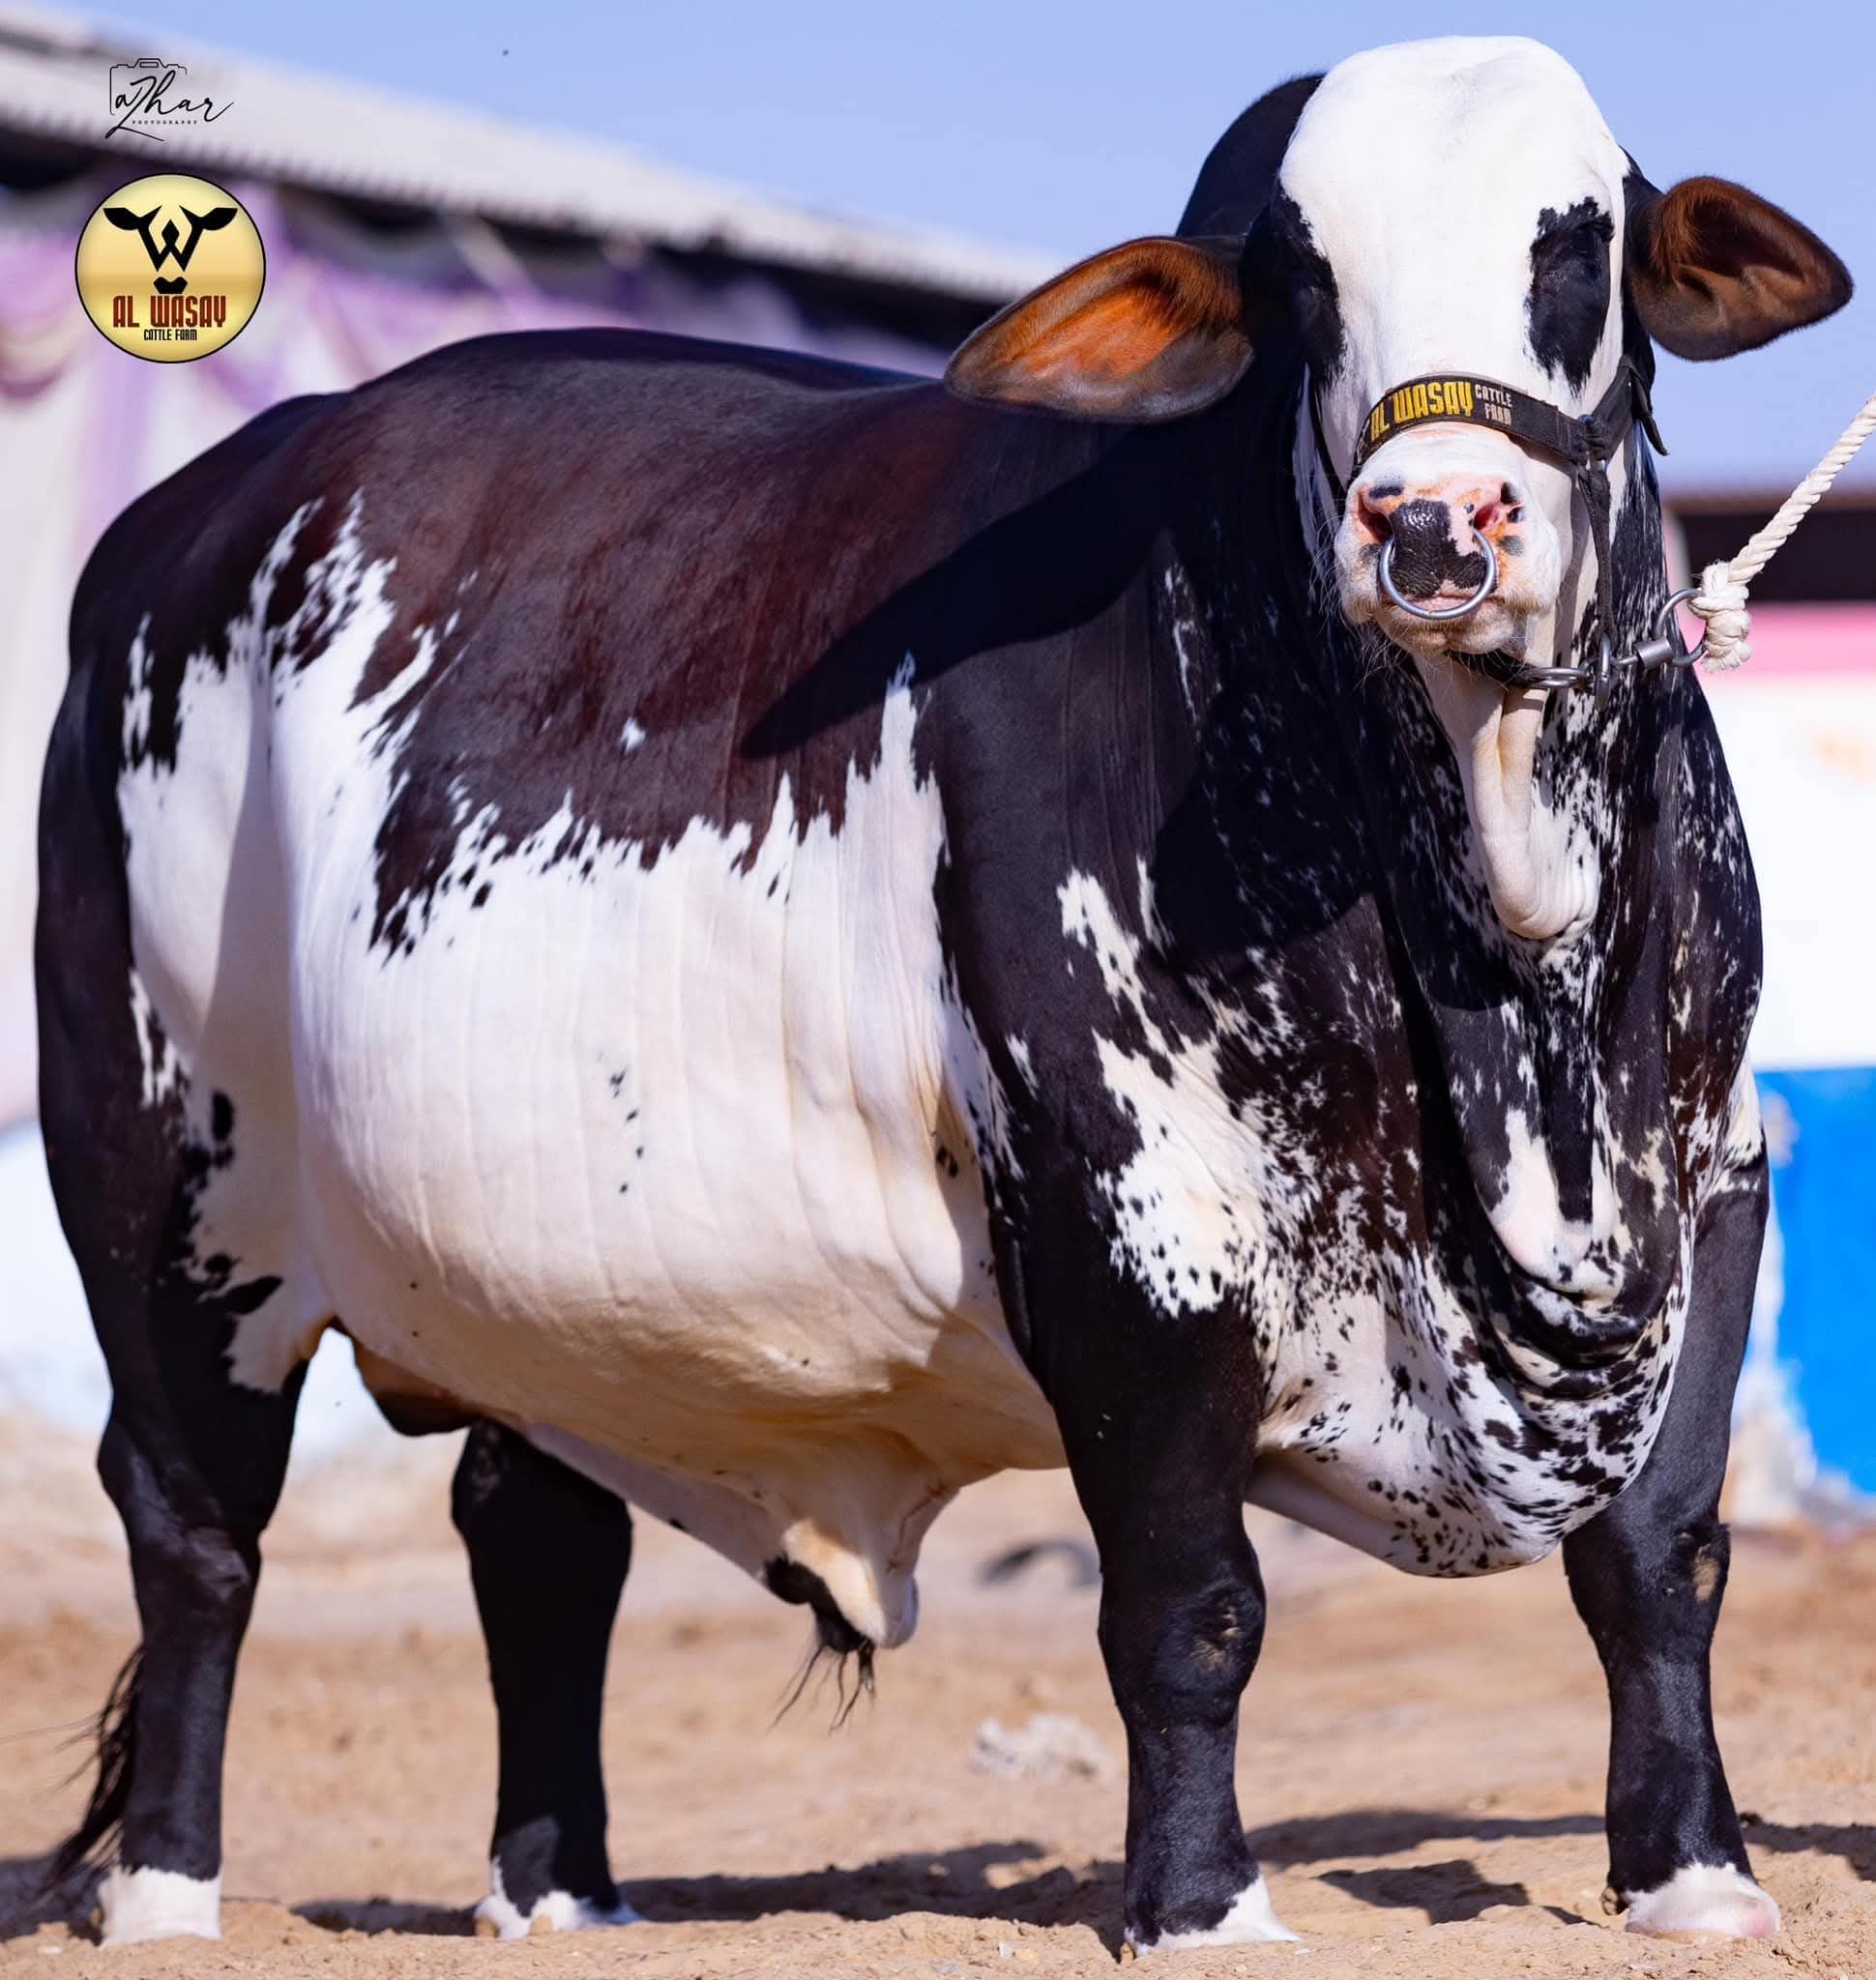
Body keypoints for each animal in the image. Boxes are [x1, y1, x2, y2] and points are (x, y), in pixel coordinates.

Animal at [36, 33, 1849, 1956]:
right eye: (1298, 292)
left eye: (1577, 249)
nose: (1432, 521)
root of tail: (180, 527)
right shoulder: (1134, 1231)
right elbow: (1192, 1607)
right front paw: (1202, 1906)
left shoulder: (1711, 1182)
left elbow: (1660, 1555)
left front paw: (1695, 1872)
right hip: (157, 1195)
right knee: (195, 1530)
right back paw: (165, 1893)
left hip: (530, 1283)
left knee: (535, 1534)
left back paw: (564, 1893)